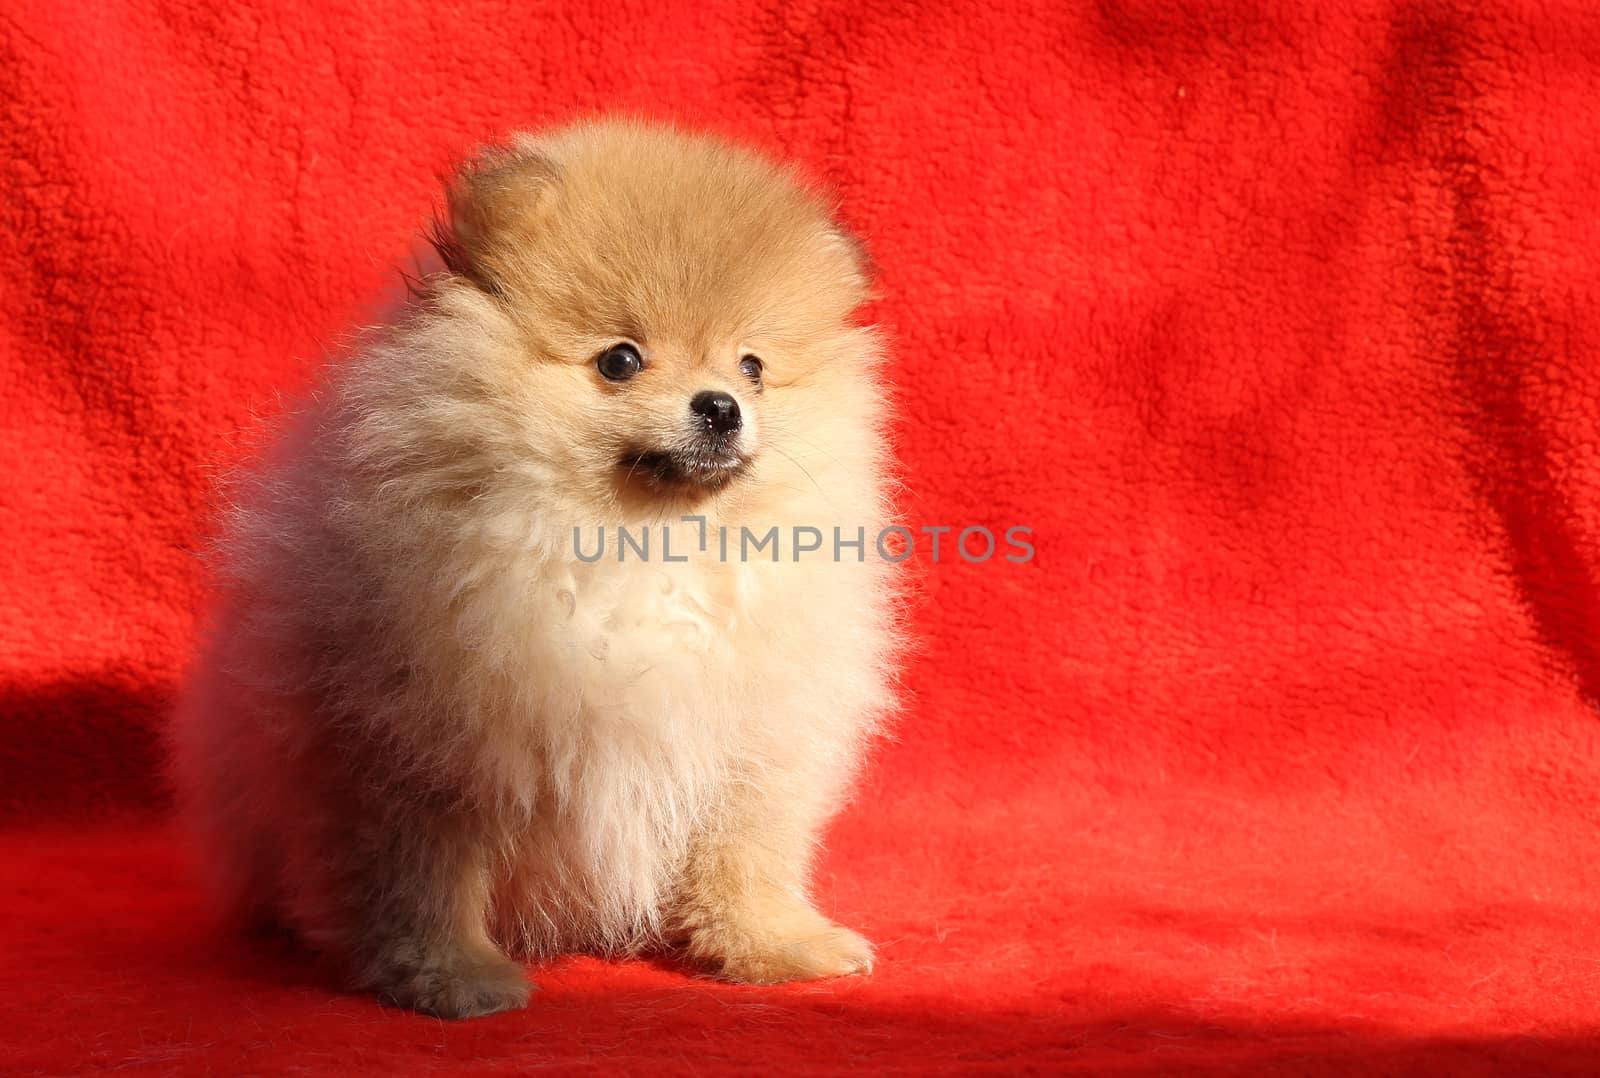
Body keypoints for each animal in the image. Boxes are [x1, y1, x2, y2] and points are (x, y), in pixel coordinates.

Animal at [175, 119, 908, 1017]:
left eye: (752, 367)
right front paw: (454, 978)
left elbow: (743, 859)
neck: (638, 546)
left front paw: (775, 946)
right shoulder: (414, 751)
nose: (720, 407)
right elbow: (424, 880)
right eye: (620, 360)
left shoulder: (751, 747)